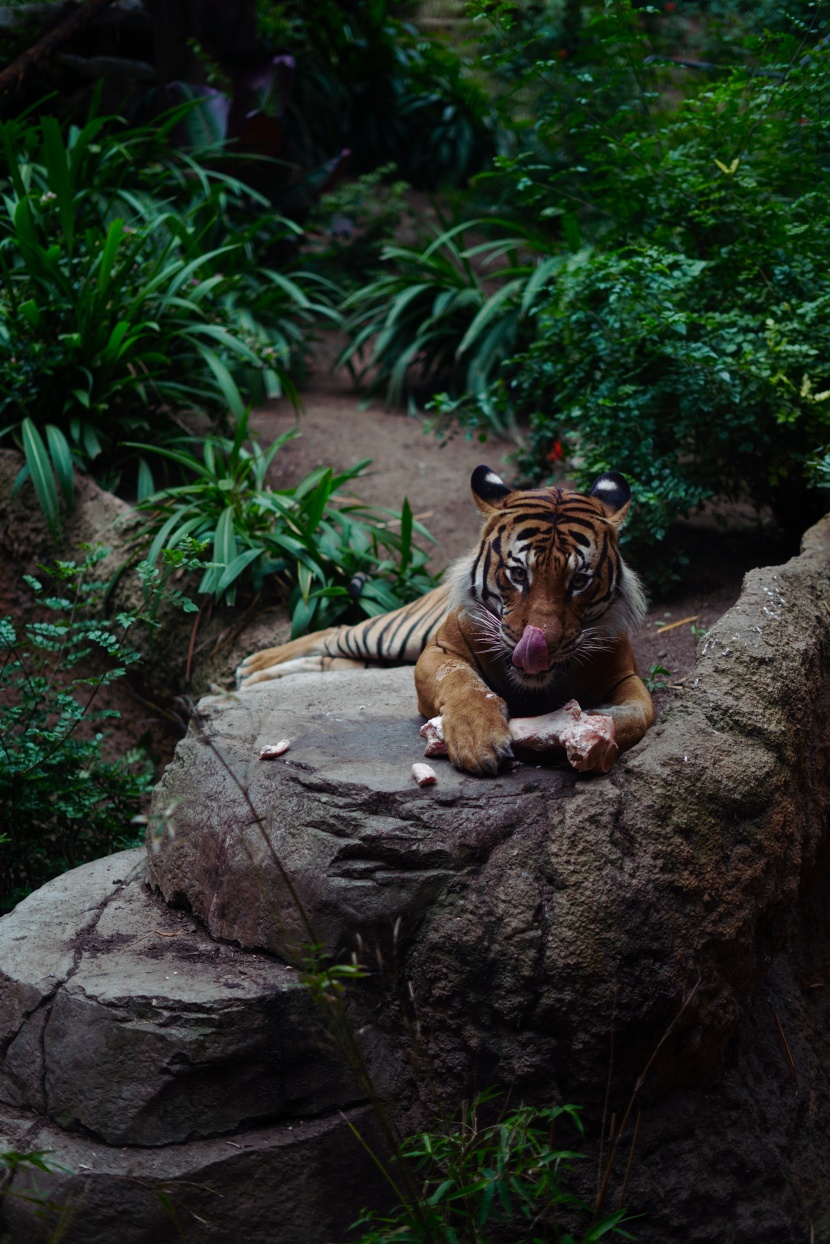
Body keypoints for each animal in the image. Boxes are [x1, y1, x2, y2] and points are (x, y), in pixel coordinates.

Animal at [238, 467, 657, 776]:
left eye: (579, 581)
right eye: (518, 574)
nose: (540, 647)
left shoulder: (626, 676)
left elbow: (639, 715)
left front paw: (586, 734)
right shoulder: (438, 650)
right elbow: (461, 682)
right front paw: (478, 740)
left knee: (333, 659)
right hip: (396, 634)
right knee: (335, 632)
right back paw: (250, 668)